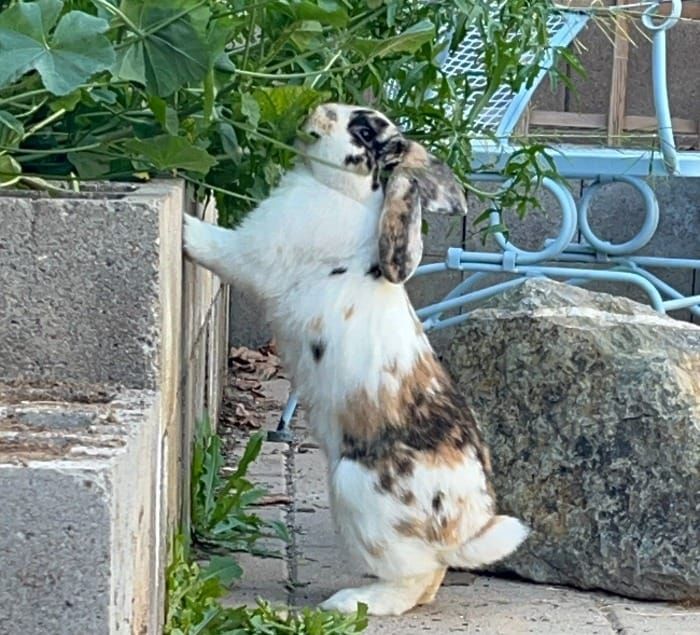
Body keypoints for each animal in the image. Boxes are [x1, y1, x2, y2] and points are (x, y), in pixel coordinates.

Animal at [183, 103, 529, 616]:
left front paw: (184, 225)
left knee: (416, 577)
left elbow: (219, 246)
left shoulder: (256, 250)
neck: (343, 192)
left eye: (364, 131)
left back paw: (349, 602)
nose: (317, 110)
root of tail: (465, 527)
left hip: (356, 492)